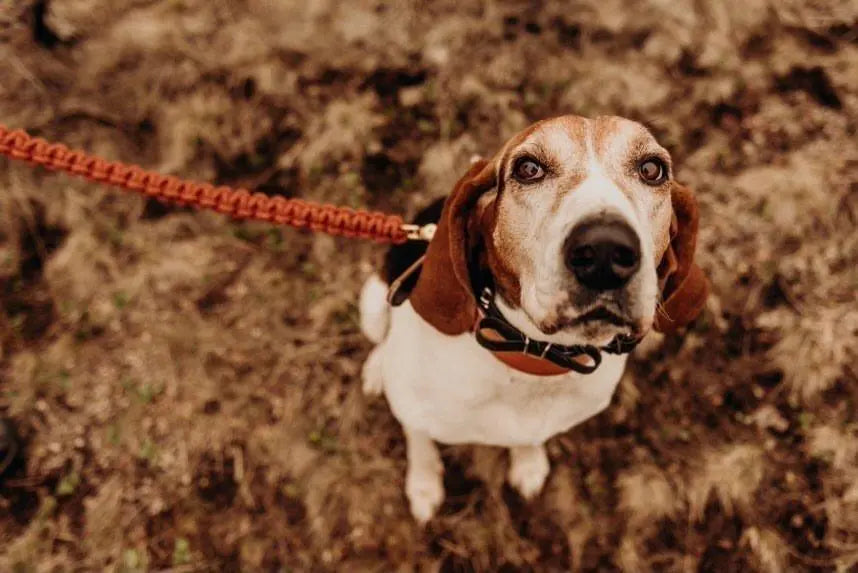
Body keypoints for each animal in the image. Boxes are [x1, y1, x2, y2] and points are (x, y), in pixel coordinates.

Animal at [358, 114, 704, 520]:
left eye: (652, 169)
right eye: (528, 168)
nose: (604, 251)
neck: (531, 361)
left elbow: (529, 439)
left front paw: (528, 463)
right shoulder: (413, 412)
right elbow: (420, 445)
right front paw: (424, 488)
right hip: (373, 300)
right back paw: (376, 369)